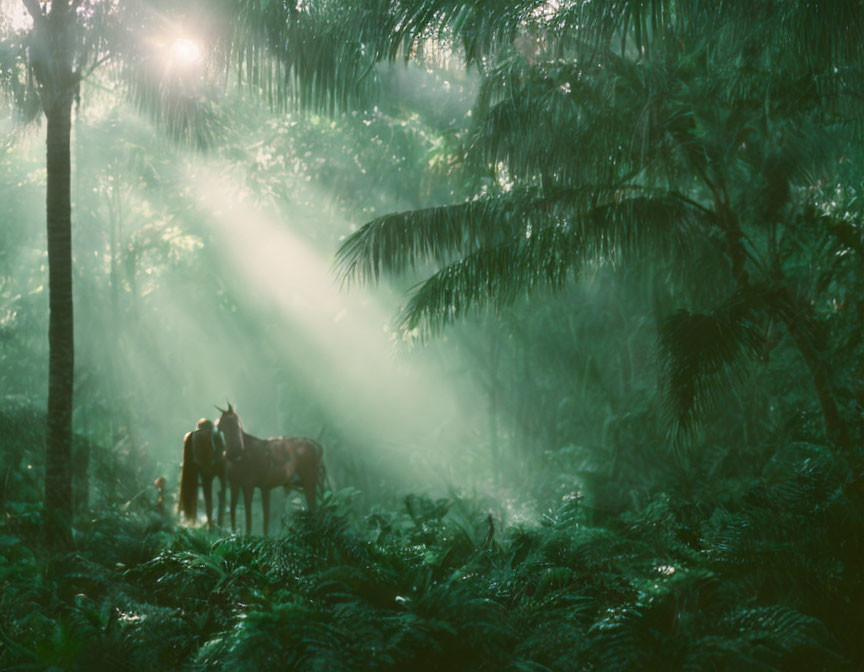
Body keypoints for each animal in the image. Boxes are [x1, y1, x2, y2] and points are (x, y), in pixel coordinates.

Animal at [214, 404, 326, 536]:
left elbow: (249, 515)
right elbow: (234, 511)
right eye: (221, 424)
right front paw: (233, 534)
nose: (234, 452)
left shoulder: (248, 485)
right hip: (303, 483)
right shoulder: (236, 484)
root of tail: (318, 447)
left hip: (310, 480)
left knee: (315, 506)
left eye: (236, 424)